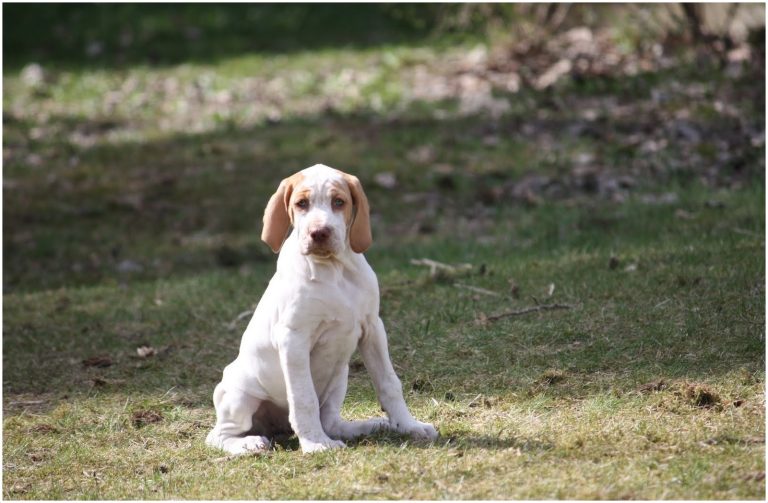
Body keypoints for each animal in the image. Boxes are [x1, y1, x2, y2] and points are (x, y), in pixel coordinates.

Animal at [207, 163, 438, 454]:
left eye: (338, 202)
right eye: (301, 204)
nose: (319, 233)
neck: (334, 270)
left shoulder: (373, 328)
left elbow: (389, 383)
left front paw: (408, 426)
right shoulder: (293, 340)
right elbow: (303, 398)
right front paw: (316, 444)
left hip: (340, 378)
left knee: (332, 422)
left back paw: (371, 425)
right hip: (240, 396)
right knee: (217, 435)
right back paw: (249, 443)